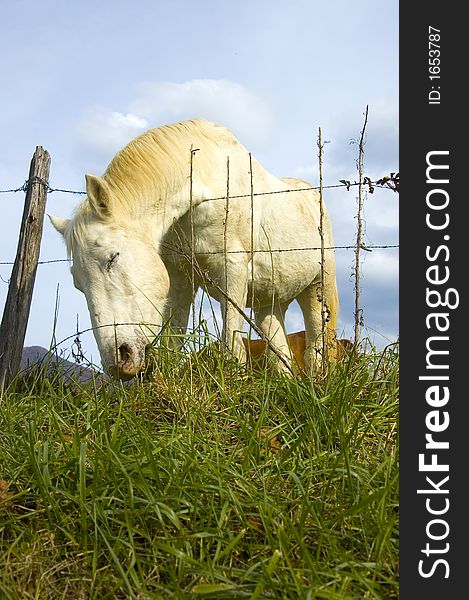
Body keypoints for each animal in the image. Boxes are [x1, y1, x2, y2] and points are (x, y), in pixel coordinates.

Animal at [49, 119, 338, 378]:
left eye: (113, 258)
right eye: (78, 284)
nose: (119, 362)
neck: (206, 187)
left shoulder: (232, 271)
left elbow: (232, 344)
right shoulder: (180, 280)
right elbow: (174, 340)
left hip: (319, 287)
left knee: (318, 348)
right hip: (270, 302)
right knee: (281, 357)